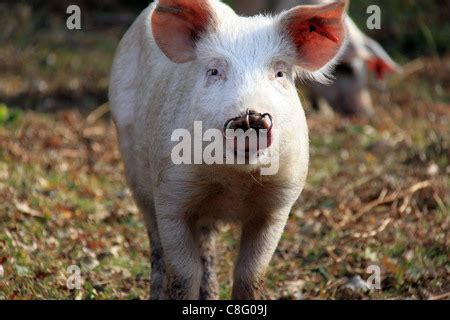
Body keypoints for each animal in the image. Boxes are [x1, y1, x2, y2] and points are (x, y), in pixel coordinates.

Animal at [109, 0, 348, 300]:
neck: (235, 182)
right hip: (135, 175)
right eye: (214, 71)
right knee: (157, 247)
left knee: (206, 246)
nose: (251, 117)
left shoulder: (279, 204)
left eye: (280, 73)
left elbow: (251, 274)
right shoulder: (170, 195)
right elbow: (184, 274)